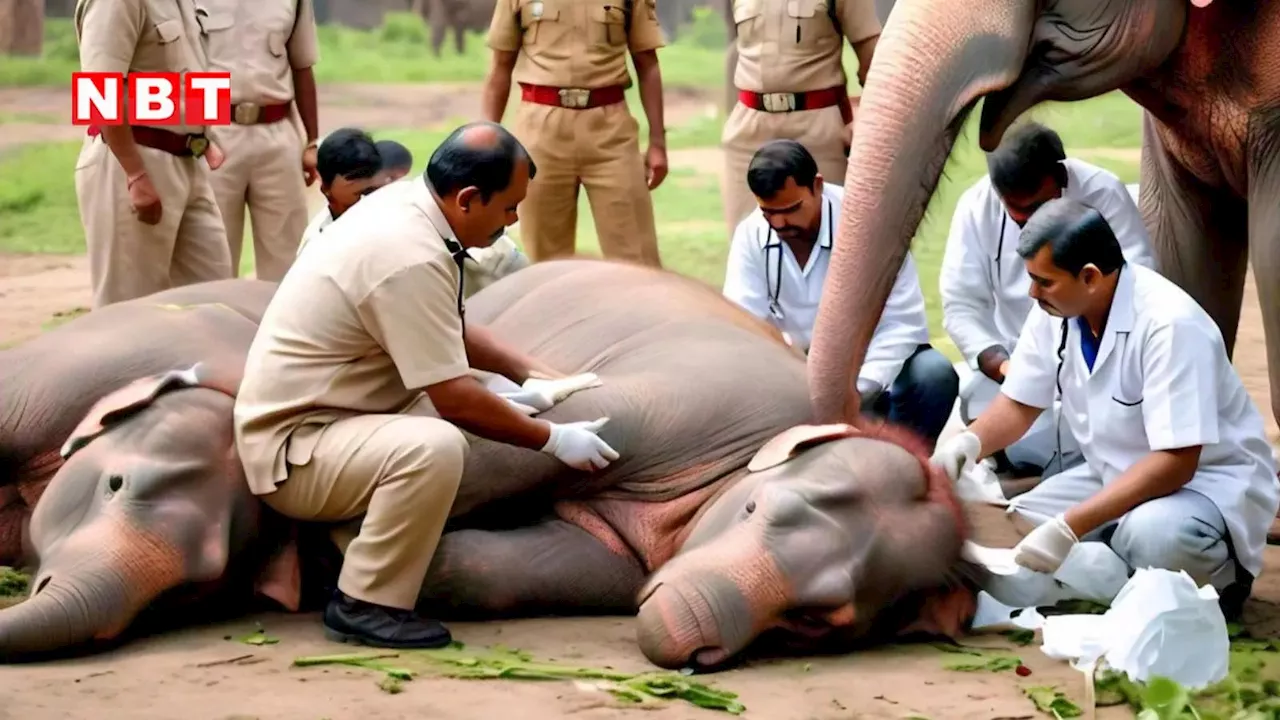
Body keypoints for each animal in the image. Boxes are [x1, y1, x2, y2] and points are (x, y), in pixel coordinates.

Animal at [2, 258, 977, 666]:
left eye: (816, 621)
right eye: (753, 513)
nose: (689, 643)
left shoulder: (626, 556)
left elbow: (500, 570)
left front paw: (351, 561)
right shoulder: (683, 397)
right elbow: (495, 433)